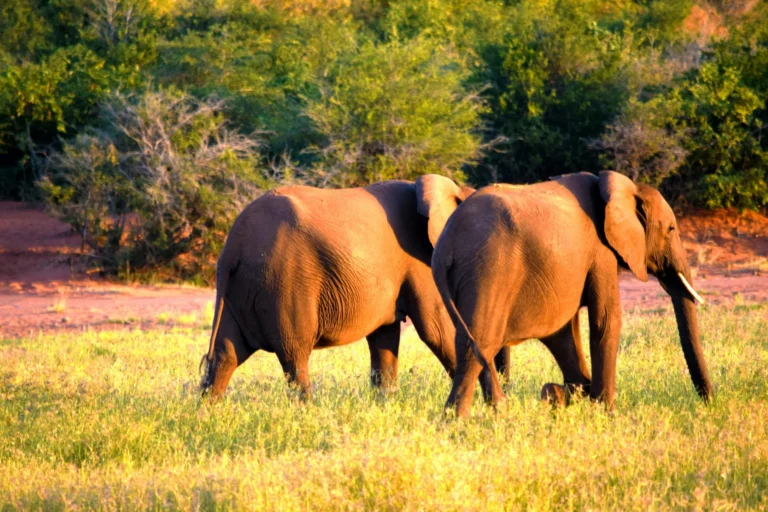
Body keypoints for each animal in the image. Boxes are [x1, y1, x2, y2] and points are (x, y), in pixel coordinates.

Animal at [200, 174, 511, 399]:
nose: (508, 390)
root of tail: (233, 246)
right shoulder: (421, 261)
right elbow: (438, 331)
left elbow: (385, 339)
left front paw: (385, 404)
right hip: (282, 280)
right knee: (294, 356)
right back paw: (307, 412)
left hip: (242, 287)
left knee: (226, 355)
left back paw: (207, 414)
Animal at [431, 171, 713, 417]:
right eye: (672, 229)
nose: (709, 402)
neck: (619, 188)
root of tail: (446, 244)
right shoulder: (601, 252)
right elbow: (606, 320)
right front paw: (605, 412)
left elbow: (564, 333)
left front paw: (561, 394)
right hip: (488, 269)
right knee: (478, 343)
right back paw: (461, 421)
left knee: (470, 341)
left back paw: (492, 411)